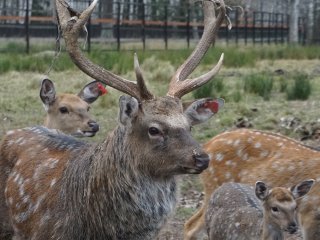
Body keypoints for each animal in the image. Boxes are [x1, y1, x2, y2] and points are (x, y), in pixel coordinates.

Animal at [184, 128, 320, 240]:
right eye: (275, 208)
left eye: (295, 207)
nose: (292, 227)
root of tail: (207, 145)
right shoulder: (310, 213)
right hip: (213, 185)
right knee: (191, 226)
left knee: (191, 224)